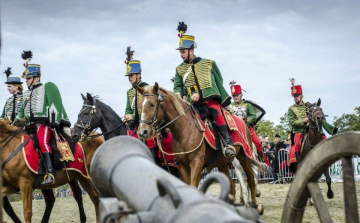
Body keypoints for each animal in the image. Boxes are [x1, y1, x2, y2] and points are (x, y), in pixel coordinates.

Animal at [136, 82, 262, 213]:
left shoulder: (196, 163)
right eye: (140, 105)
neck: (185, 129)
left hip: (244, 158)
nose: (142, 132)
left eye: (152, 104)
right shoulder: (183, 166)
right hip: (223, 163)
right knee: (232, 185)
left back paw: (255, 206)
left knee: (251, 180)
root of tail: (244, 124)